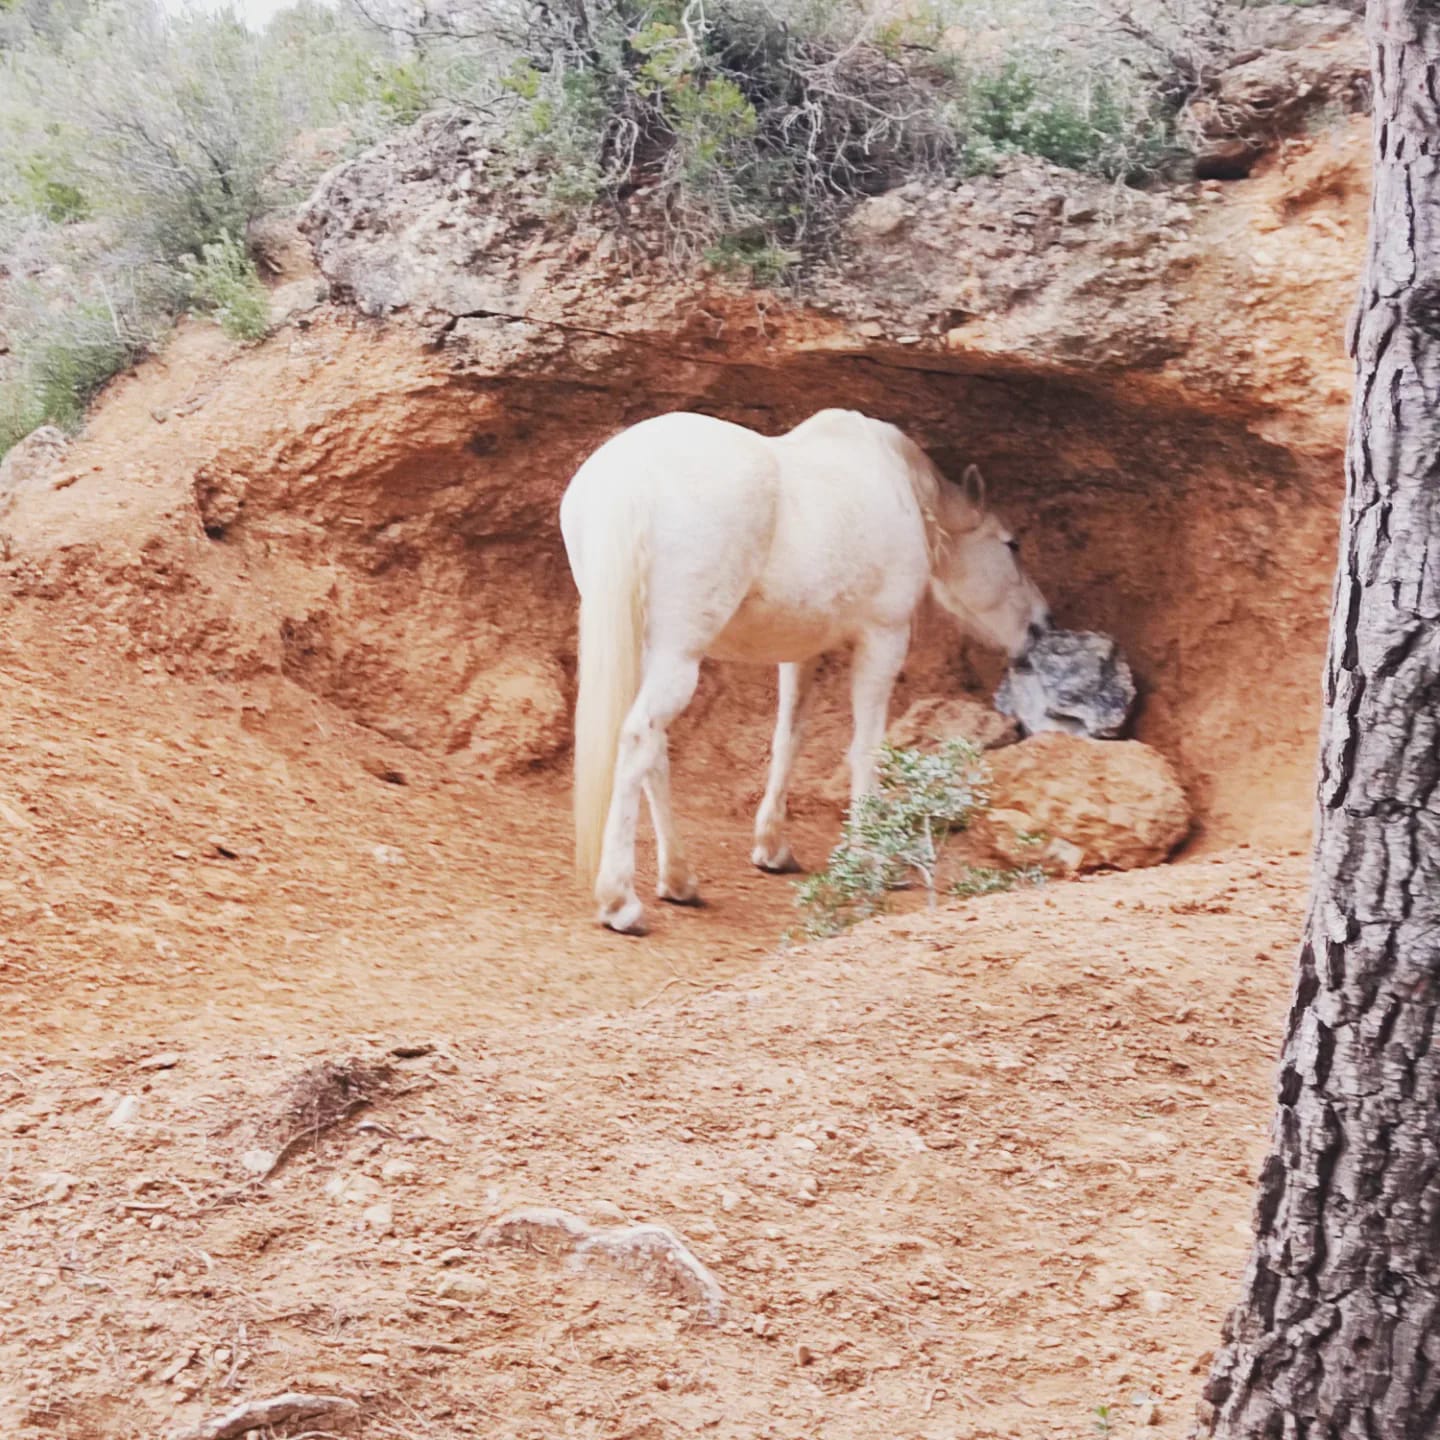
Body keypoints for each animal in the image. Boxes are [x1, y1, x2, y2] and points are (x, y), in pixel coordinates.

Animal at [560, 407, 1051, 934]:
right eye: (1012, 545)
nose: (1041, 625)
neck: (899, 485)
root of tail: (629, 476)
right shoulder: (883, 639)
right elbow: (867, 749)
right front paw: (869, 859)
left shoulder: (800, 651)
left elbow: (788, 739)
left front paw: (772, 847)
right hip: (678, 655)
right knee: (638, 738)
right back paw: (621, 901)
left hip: (651, 649)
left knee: (654, 749)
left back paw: (679, 880)